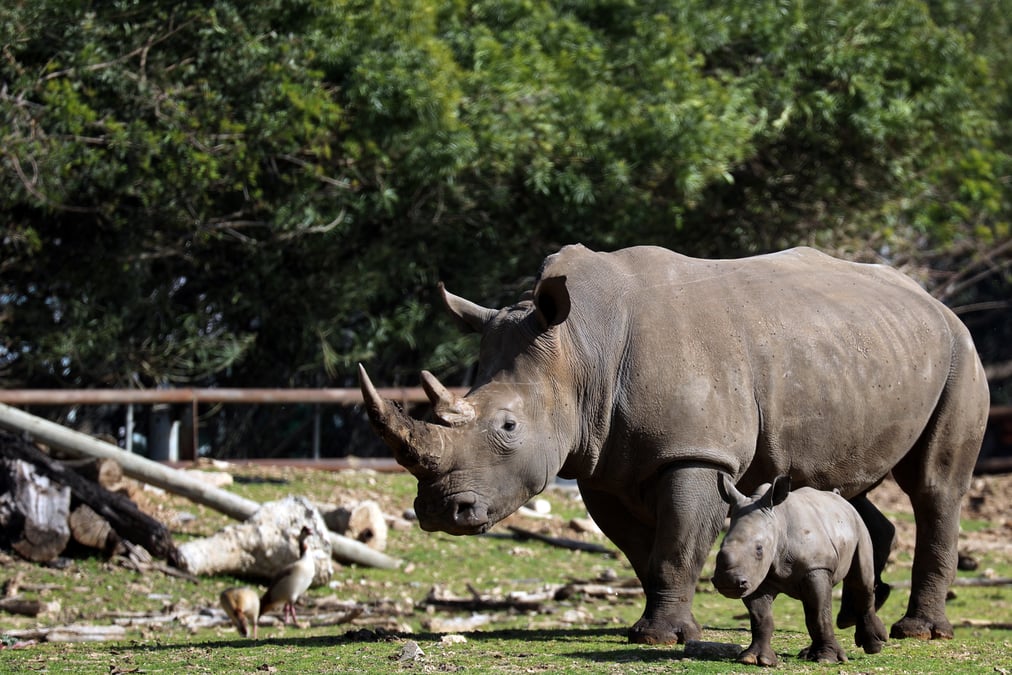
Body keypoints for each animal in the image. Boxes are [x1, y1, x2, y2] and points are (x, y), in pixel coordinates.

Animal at [358, 244, 989, 645]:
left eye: (509, 428)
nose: (439, 512)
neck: (579, 349)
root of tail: (931, 299)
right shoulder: (601, 461)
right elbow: (643, 551)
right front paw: (659, 630)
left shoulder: (696, 449)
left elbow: (677, 542)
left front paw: (659, 639)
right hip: (860, 352)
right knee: (840, 486)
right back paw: (864, 613)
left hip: (961, 351)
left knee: (934, 486)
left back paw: (918, 632)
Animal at [713, 473, 888, 666]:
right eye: (720, 545)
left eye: (759, 549)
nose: (727, 582)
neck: (778, 523)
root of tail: (840, 498)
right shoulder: (755, 576)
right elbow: (761, 617)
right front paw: (754, 659)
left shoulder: (816, 567)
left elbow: (820, 615)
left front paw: (827, 659)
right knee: (812, 604)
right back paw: (807, 654)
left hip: (859, 525)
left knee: (861, 581)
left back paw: (873, 646)